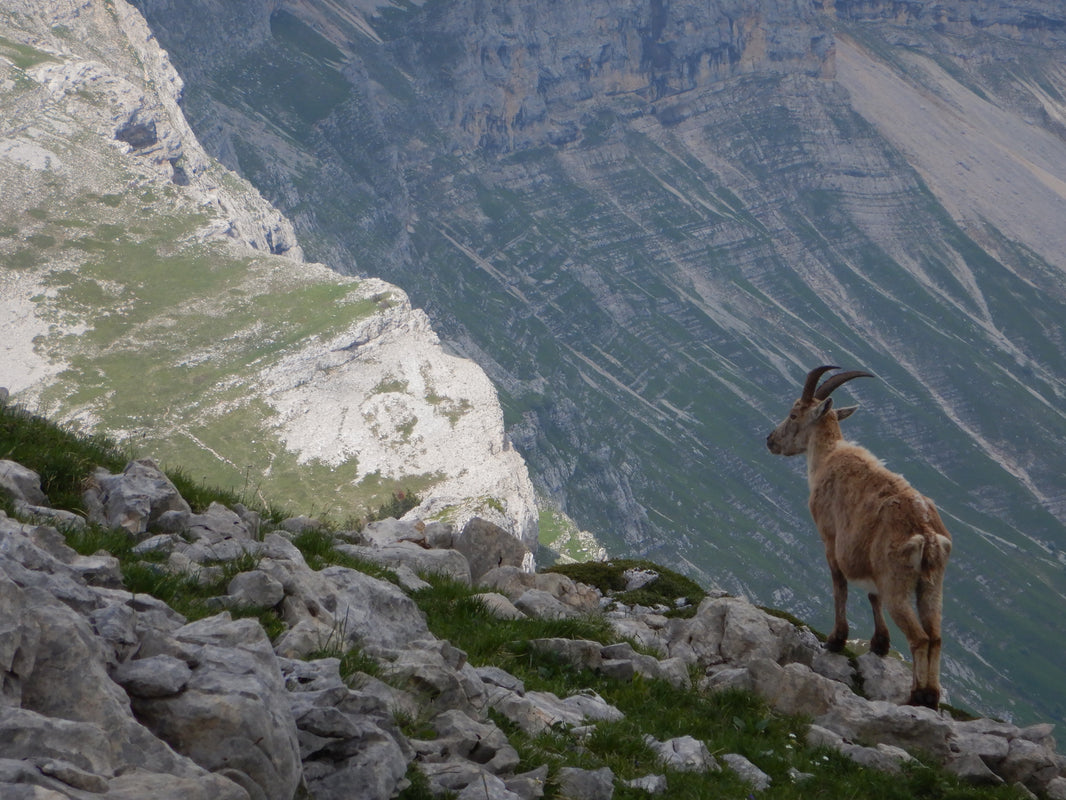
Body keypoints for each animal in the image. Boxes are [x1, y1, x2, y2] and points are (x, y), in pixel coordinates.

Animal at [767, 366, 950, 712]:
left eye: (794, 413)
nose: (770, 440)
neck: (827, 458)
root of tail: (927, 535)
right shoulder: (867, 560)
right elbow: (871, 595)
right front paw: (879, 644)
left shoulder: (831, 540)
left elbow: (840, 587)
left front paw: (836, 640)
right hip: (931, 587)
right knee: (935, 636)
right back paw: (930, 698)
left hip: (898, 584)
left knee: (919, 637)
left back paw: (915, 696)